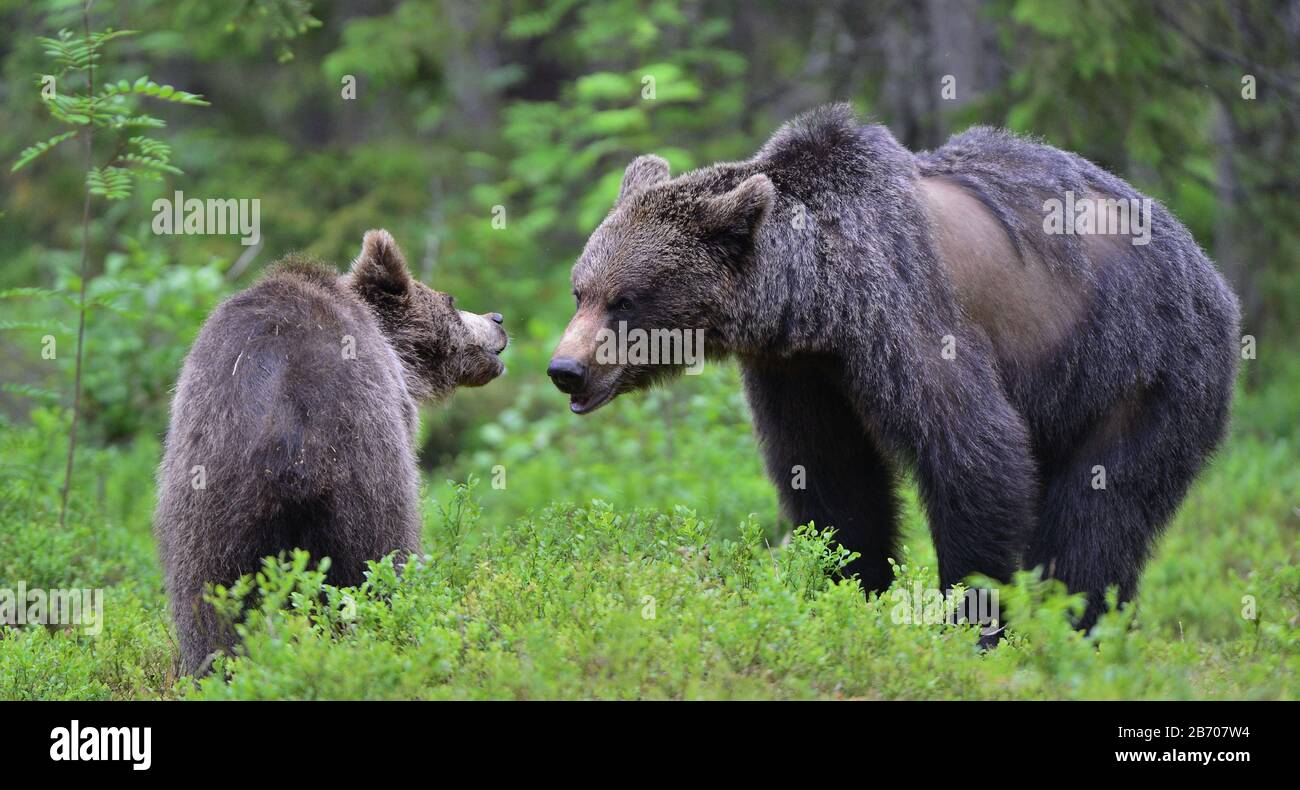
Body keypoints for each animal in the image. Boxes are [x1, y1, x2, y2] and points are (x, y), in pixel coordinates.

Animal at [157, 228, 506, 670]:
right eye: (451, 300)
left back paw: (214, 664)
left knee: (207, 595)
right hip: (363, 473)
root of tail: (282, 432)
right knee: (374, 559)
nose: (498, 319)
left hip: (209, 494)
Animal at [548, 105, 1237, 636]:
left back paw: (1076, 629)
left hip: (1139, 369)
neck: (816, 299)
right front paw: (845, 588)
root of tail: (1209, 270)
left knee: (1099, 516)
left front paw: (973, 626)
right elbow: (831, 478)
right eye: (581, 289)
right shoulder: (800, 372)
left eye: (625, 299)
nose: (566, 368)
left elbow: (975, 453)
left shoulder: (906, 312)